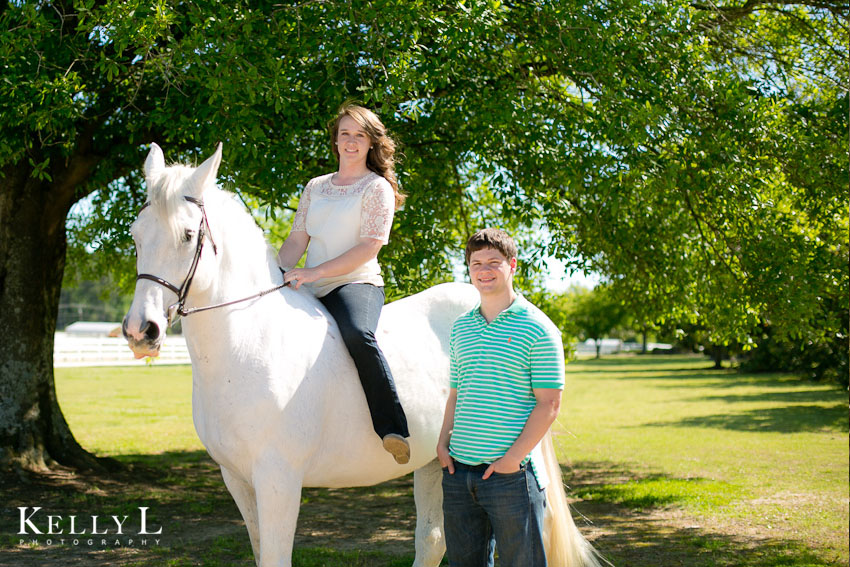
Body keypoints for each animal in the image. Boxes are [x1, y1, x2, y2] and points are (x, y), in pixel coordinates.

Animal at [124, 143, 604, 567]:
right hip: (437, 462)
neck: (250, 344)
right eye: (136, 234)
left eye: (188, 235)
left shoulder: (279, 480)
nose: (141, 330)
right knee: (434, 540)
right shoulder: (237, 479)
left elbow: (276, 558)